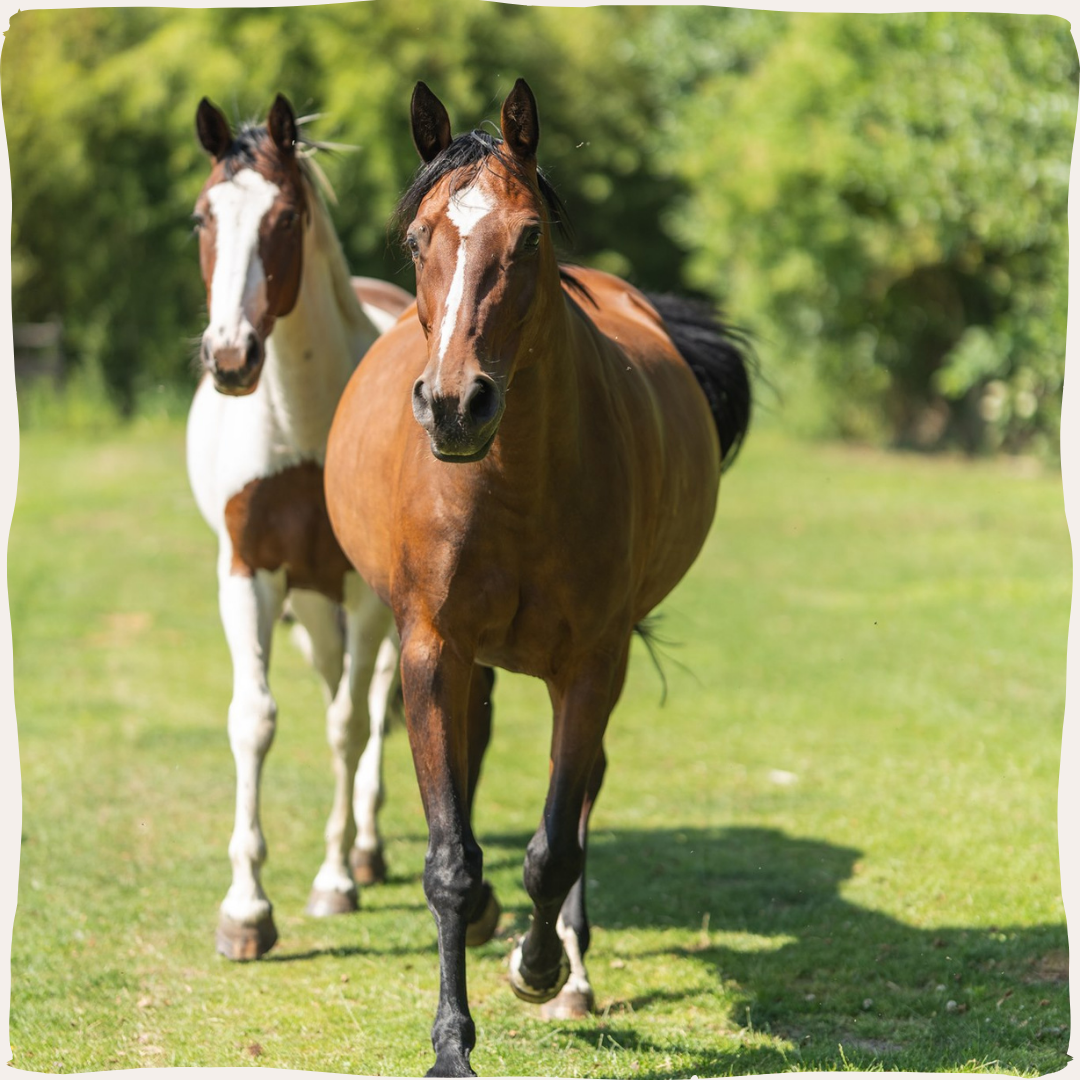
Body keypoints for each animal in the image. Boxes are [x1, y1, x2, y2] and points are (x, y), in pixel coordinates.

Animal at [186, 93, 414, 961]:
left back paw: (364, 849)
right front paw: (246, 910)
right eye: (202, 218)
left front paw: (335, 880)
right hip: (311, 604)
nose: (230, 358)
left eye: (284, 218)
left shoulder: (366, 592)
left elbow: (350, 725)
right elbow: (254, 721)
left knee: (371, 701)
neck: (311, 429)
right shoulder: (250, 575)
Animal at [324, 80, 752, 1076]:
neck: (513, 483)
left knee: (583, 786)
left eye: (527, 239)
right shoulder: (431, 651)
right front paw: (451, 1042)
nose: (453, 405)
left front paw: (542, 963)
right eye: (418, 241)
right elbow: (450, 856)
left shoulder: (594, 662)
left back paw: (570, 965)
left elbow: (555, 843)